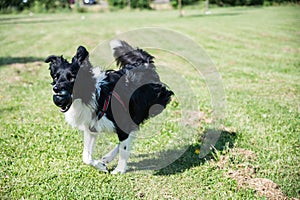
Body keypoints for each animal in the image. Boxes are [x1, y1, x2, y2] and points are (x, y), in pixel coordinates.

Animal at [45, 40, 175, 173]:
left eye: (72, 78)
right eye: (55, 77)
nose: (56, 89)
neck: (94, 95)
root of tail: (144, 64)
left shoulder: (123, 121)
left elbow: (124, 147)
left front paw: (119, 170)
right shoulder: (92, 126)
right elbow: (86, 157)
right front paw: (101, 166)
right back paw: (107, 158)